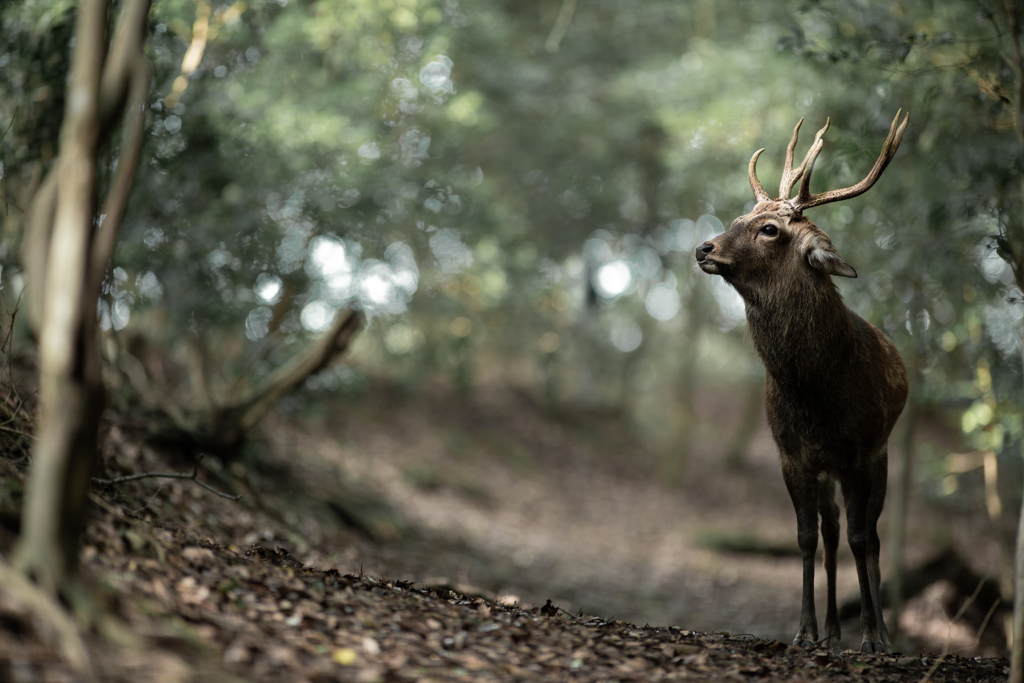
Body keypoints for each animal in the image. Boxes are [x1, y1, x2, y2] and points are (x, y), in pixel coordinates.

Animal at [692, 111, 909, 651]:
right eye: (737, 220)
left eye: (769, 229)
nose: (703, 247)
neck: (816, 395)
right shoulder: (792, 453)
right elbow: (807, 538)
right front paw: (804, 630)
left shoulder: (859, 451)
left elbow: (860, 539)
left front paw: (870, 636)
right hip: (828, 469)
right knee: (831, 534)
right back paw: (831, 631)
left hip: (881, 455)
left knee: (872, 539)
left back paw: (883, 633)